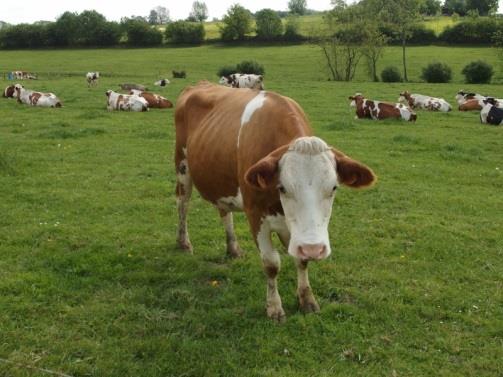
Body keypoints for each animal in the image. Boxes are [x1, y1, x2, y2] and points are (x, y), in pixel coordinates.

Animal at [175, 81, 376, 318]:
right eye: (283, 187)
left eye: (334, 187)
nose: (314, 249)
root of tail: (200, 84)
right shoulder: (255, 214)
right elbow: (271, 263)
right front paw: (274, 307)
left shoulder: (297, 233)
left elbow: (301, 261)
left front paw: (307, 299)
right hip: (182, 166)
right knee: (182, 204)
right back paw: (184, 243)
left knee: (224, 211)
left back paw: (233, 249)